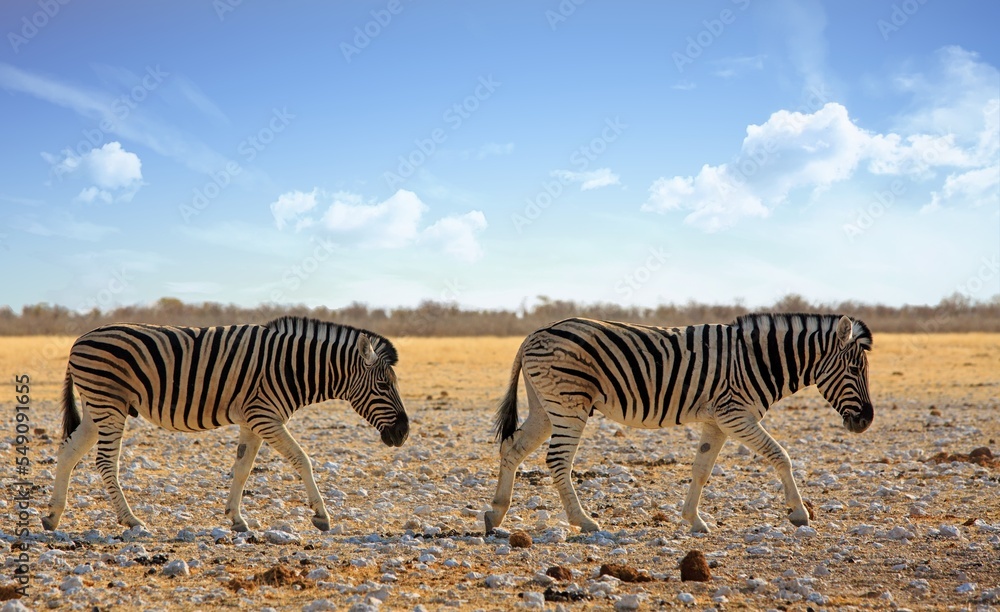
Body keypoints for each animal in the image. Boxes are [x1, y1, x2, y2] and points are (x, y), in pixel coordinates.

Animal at [42, 316, 409, 533]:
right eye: (383, 386)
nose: (404, 433)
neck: (294, 367)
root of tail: (79, 339)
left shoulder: (253, 419)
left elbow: (243, 468)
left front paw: (236, 518)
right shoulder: (265, 416)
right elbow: (302, 459)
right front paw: (321, 516)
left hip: (97, 408)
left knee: (68, 451)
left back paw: (52, 516)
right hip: (109, 403)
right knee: (105, 461)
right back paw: (131, 520)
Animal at [485, 313, 873, 534]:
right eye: (855, 369)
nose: (867, 421)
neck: (759, 360)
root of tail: (535, 332)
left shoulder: (718, 420)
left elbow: (701, 469)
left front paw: (693, 520)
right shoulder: (735, 413)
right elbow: (781, 456)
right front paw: (799, 514)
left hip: (545, 407)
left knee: (512, 446)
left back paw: (496, 513)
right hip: (569, 403)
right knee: (557, 460)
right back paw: (584, 522)